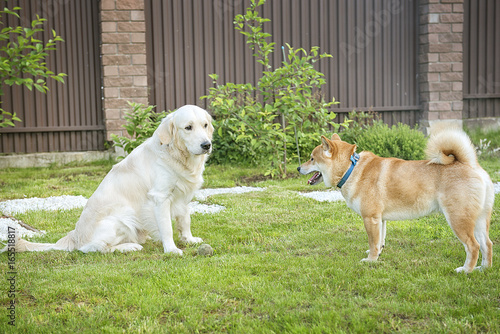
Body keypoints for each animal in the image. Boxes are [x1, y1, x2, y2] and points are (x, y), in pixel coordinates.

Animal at [4, 105, 215, 254]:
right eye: (188, 128)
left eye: (205, 125)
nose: (207, 145)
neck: (178, 156)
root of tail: (75, 237)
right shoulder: (160, 197)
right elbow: (167, 227)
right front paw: (171, 249)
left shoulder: (183, 195)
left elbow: (184, 219)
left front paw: (189, 239)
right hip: (122, 217)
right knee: (93, 248)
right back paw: (128, 247)